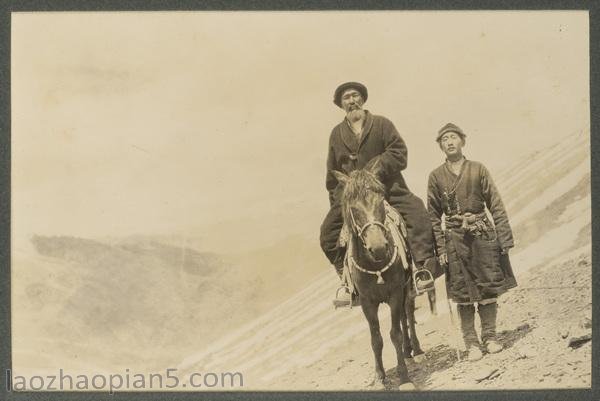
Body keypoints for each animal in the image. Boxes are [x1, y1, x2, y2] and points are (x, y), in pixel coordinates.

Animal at [332, 166, 422, 390]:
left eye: (380, 200)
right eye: (353, 208)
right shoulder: (367, 302)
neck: (376, 265)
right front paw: (379, 377)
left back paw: (416, 351)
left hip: (406, 288)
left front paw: (404, 377)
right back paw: (407, 351)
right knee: (403, 319)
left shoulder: (395, 294)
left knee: (407, 314)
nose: (379, 247)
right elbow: (376, 339)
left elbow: (395, 334)